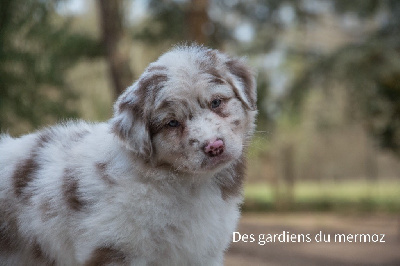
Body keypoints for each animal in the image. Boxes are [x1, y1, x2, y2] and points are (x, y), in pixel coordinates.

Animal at [0, 44, 256, 264]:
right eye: (172, 123)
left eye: (216, 102)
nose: (214, 146)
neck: (186, 184)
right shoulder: (115, 247)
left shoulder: (204, 251)